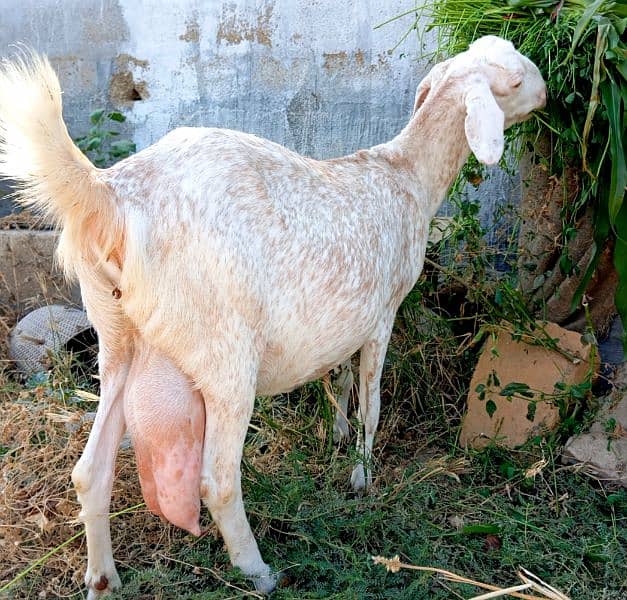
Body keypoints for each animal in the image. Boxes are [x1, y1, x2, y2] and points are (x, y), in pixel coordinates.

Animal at [0, 37, 544, 596]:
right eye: (513, 81)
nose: (545, 93)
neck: (405, 175)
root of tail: (110, 193)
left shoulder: (344, 319)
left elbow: (339, 379)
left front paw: (338, 435)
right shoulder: (383, 313)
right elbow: (371, 404)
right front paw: (362, 477)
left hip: (116, 339)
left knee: (91, 471)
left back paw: (103, 579)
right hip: (224, 353)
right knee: (216, 479)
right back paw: (257, 570)